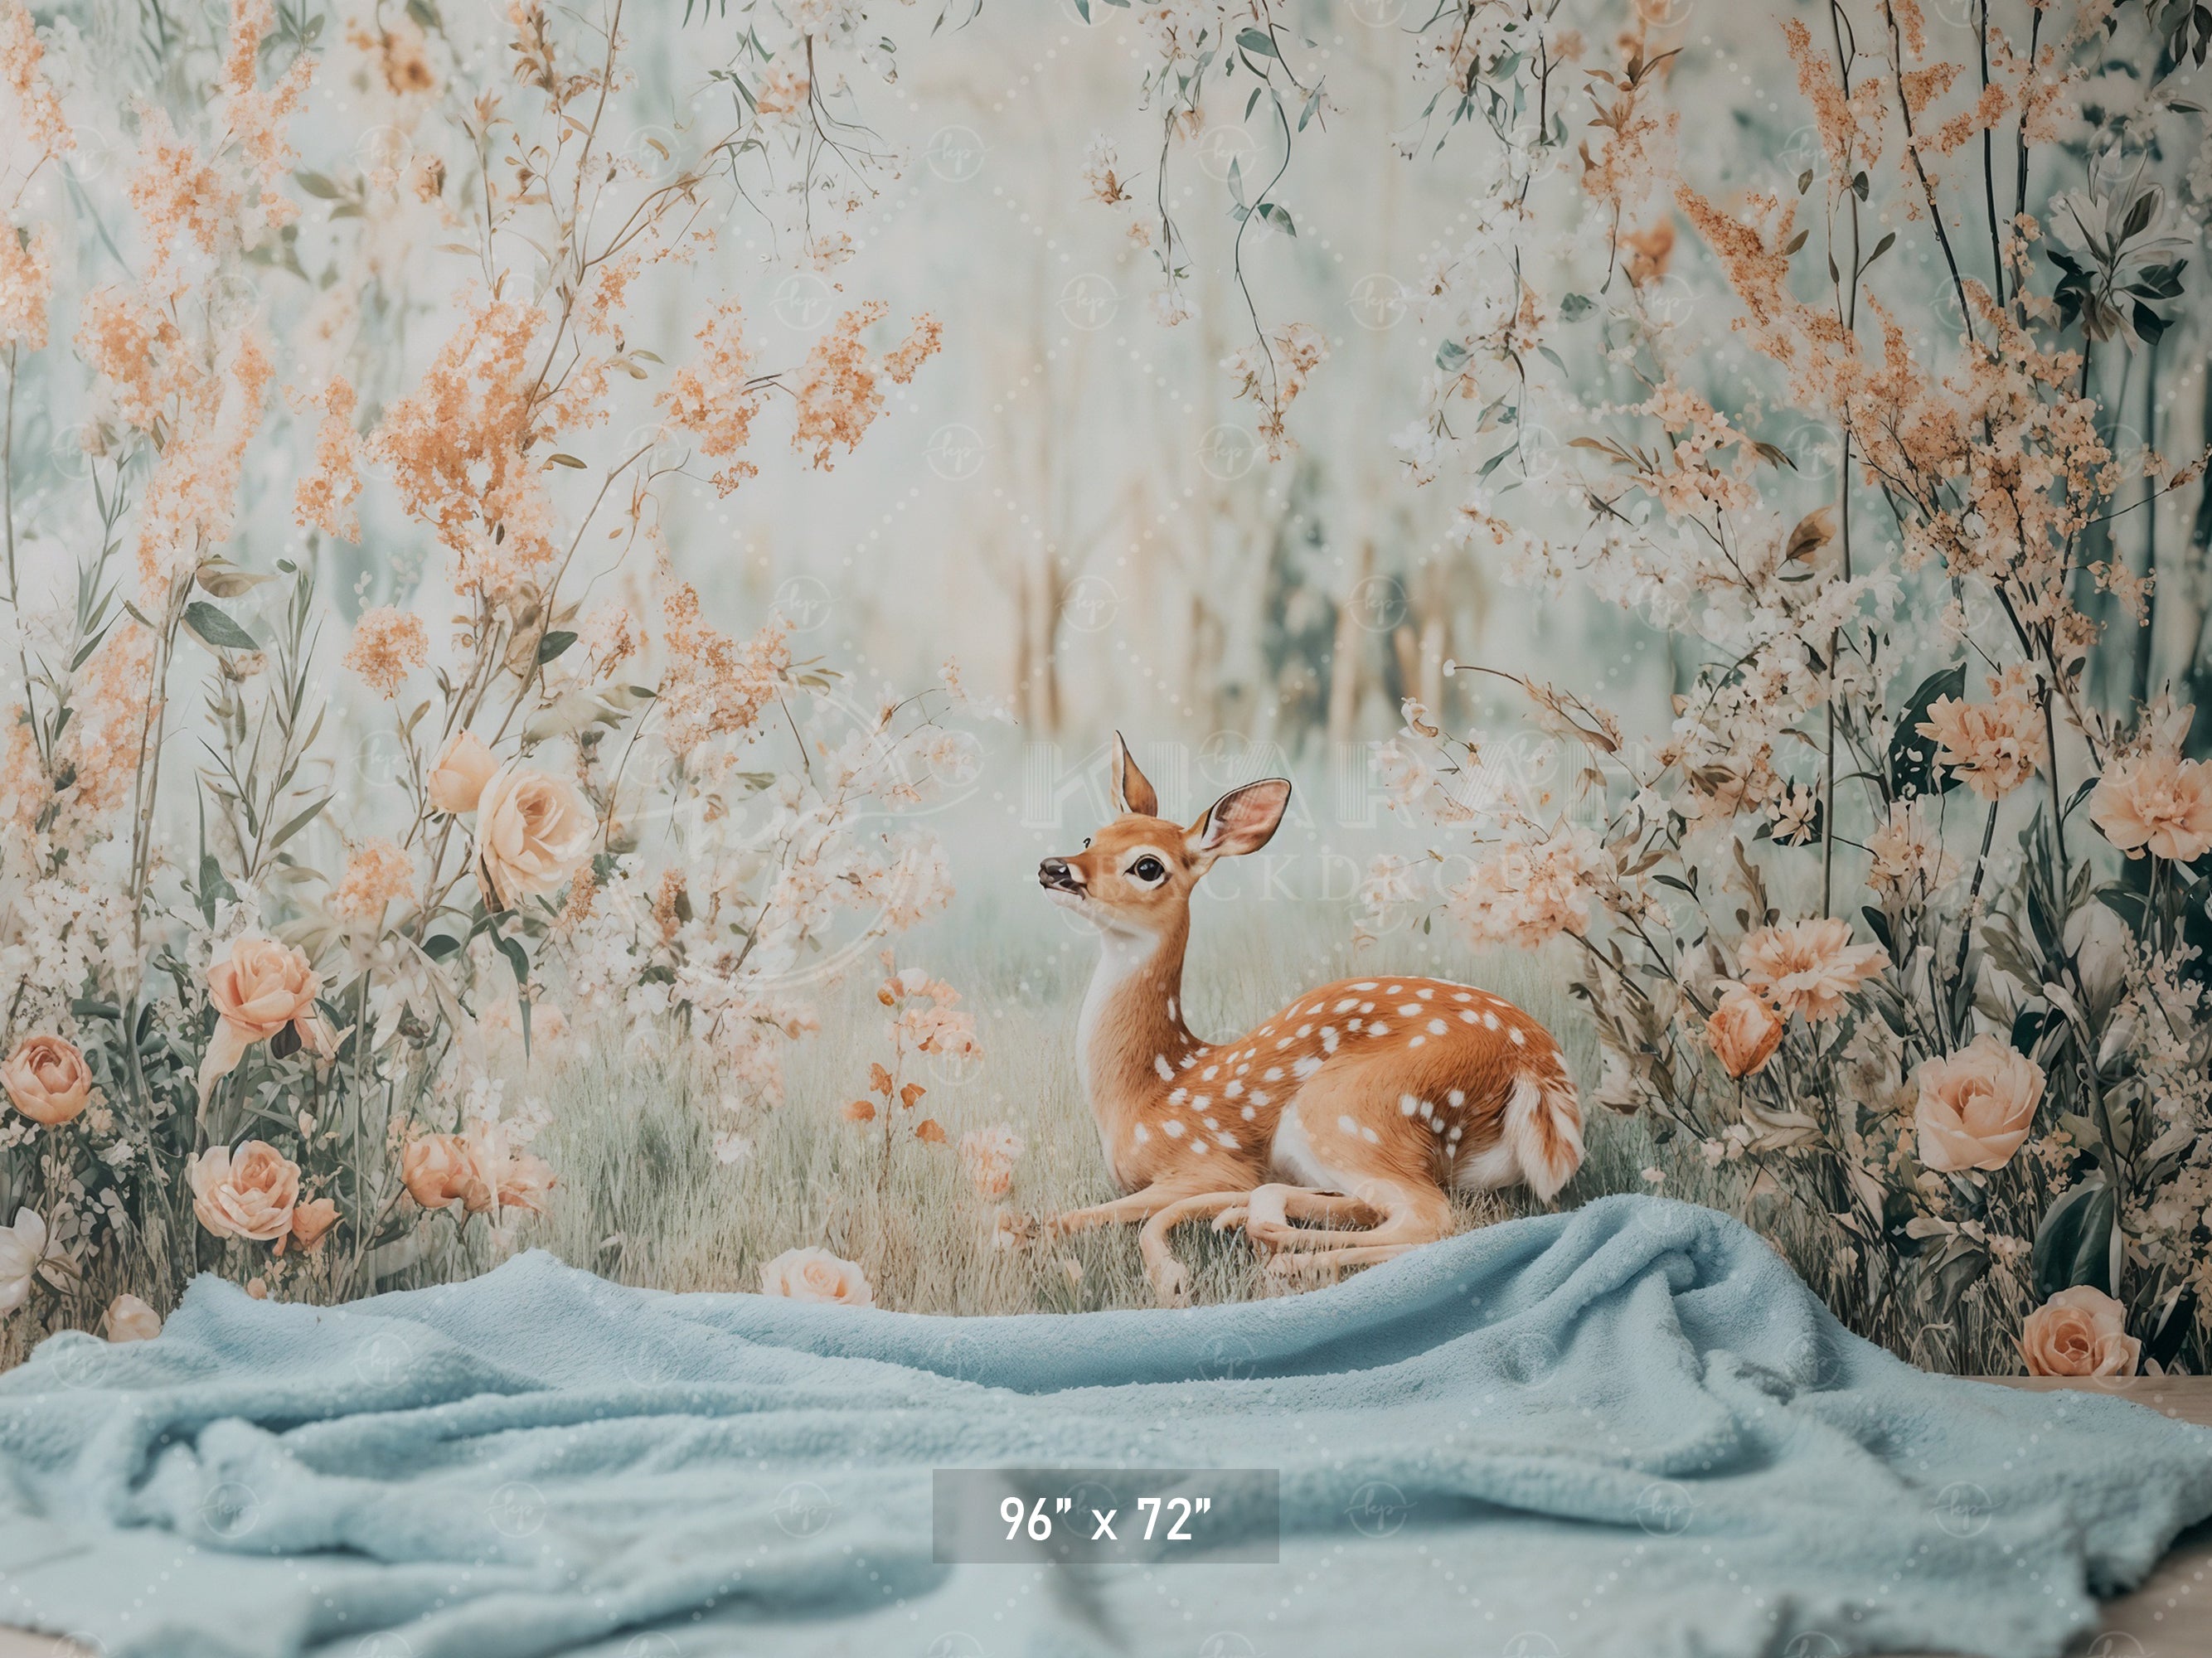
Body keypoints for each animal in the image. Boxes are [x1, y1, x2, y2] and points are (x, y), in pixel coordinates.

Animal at [1030, 734, 1585, 1304]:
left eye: (1147, 866)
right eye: (1091, 836)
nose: (1055, 868)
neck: (1146, 1092)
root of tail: (1536, 1072)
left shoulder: (1208, 1163)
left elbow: (1060, 1220)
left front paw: (1162, 1275)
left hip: (1351, 1108)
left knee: (1433, 1220)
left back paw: (1282, 1260)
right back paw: (1243, 1223)